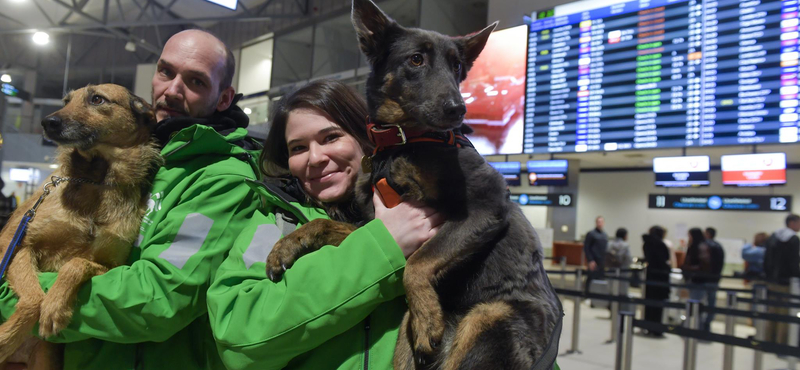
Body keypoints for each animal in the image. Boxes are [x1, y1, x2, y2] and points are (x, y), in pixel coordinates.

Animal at [268, 0, 564, 370]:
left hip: (487, 321)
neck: (401, 143)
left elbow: (418, 262)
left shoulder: (488, 202)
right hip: (404, 348)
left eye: (457, 66)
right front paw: (285, 247)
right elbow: (323, 224)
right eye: (416, 59)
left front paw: (427, 318)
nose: (459, 109)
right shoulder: (376, 225)